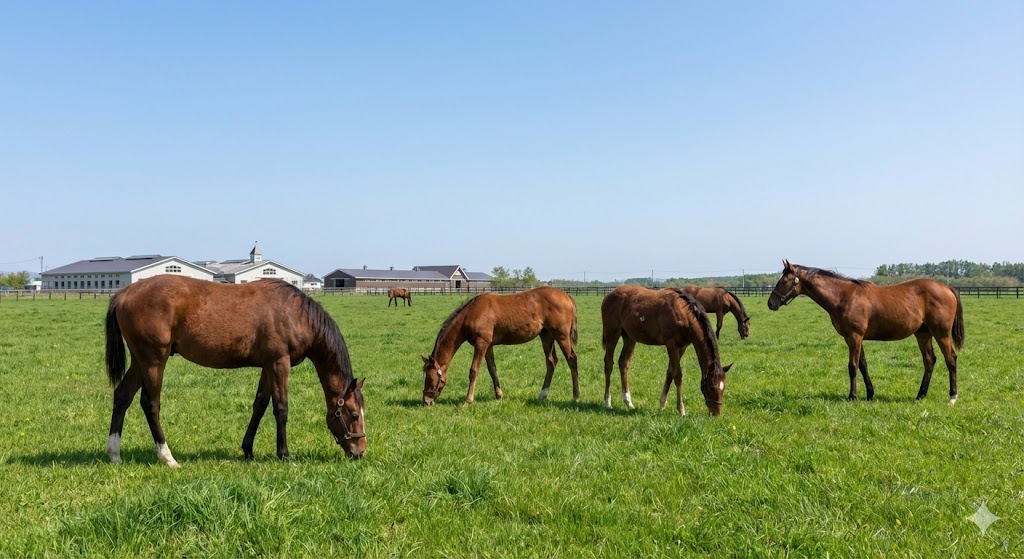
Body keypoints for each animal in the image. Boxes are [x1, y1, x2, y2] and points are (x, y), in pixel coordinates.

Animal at [104, 275, 366, 467]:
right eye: (354, 414)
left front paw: (248, 450)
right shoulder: (279, 364)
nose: (360, 452)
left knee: (122, 397)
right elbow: (281, 409)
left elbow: (259, 406)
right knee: (150, 404)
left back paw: (115, 454)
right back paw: (167, 457)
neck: (295, 315)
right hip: (154, 361)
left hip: (140, 361)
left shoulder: (267, 366)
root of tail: (125, 292)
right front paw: (284, 455)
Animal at [421, 286, 579, 406]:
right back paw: (542, 395)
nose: (426, 401)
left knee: (571, 359)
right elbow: (492, 369)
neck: (471, 313)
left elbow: (474, 370)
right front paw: (499, 396)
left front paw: (468, 400)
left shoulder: (481, 343)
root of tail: (566, 296)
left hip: (561, 336)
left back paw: (576, 396)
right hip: (546, 335)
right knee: (551, 362)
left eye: (430, 378)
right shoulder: (488, 345)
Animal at [601, 285, 732, 416]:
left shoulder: (682, 347)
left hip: (629, 338)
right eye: (711, 386)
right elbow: (678, 375)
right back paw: (607, 402)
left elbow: (670, 372)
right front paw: (681, 410)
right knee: (609, 364)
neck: (684, 314)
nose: (716, 413)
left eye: (724, 387)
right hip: (612, 334)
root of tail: (609, 295)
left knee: (623, 363)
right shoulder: (671, 345)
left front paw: (662, 405)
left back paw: (628, 403)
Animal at [767, 260, 964, 403]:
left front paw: (852, 396)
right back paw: (920, 395)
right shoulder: (856, 338)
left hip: (941, 334)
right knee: (929, 361)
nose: (771, 303)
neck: (844, 297)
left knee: (951, 359)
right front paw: (870, 394)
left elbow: (852, 367)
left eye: (783, 281)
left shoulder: (854, 337)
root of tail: (947, 288)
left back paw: (952, 397)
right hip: (923, 334)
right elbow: (863, 365)